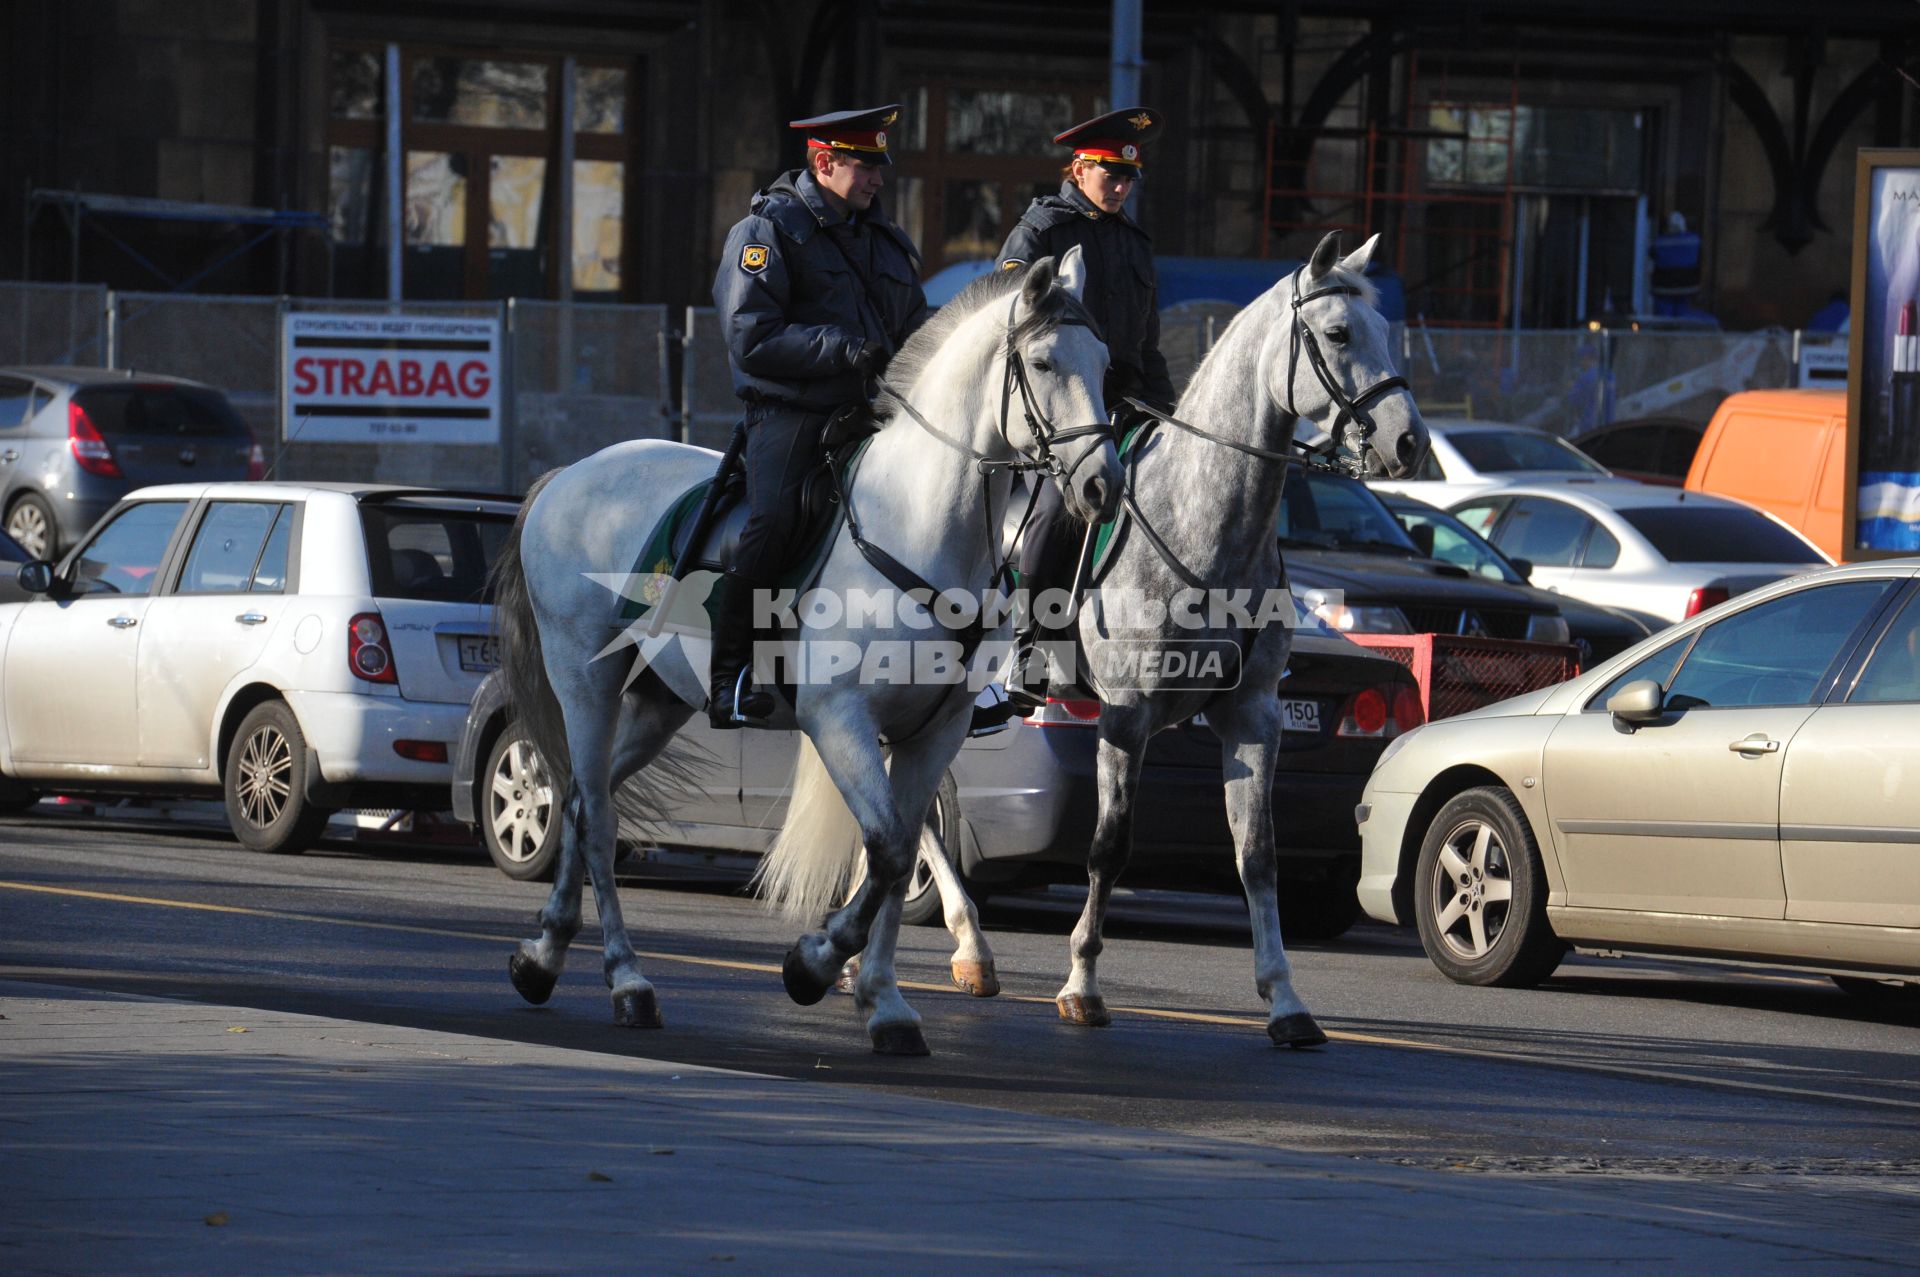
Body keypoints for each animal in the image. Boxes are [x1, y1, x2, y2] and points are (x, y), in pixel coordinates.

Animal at [491, 243, 1121, 1052]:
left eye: (1104, 362)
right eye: (1042, 362)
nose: (1104, 485)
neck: (917, 524)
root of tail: (566, 476)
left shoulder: (932, 733)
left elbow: (901, 855)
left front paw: (885, 1003)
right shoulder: (839, 718)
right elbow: (888, 848)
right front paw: (812, 964)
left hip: (657, 704)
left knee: (576, 799)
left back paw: (541, 957)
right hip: (584, 684)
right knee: (598, 817)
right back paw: (627, 979)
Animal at [825, 231, 1428, 1044]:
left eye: (1386, 331)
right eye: (1337, 334)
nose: (1409, 441)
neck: (1202, 529)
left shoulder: (1254, 716)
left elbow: (1258, 854)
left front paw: (1285, 999)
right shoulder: (1125, 715)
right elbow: (1110, 848)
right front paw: (1081, 983)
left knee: (897, 815)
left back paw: (894, 952)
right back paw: (951, 944)